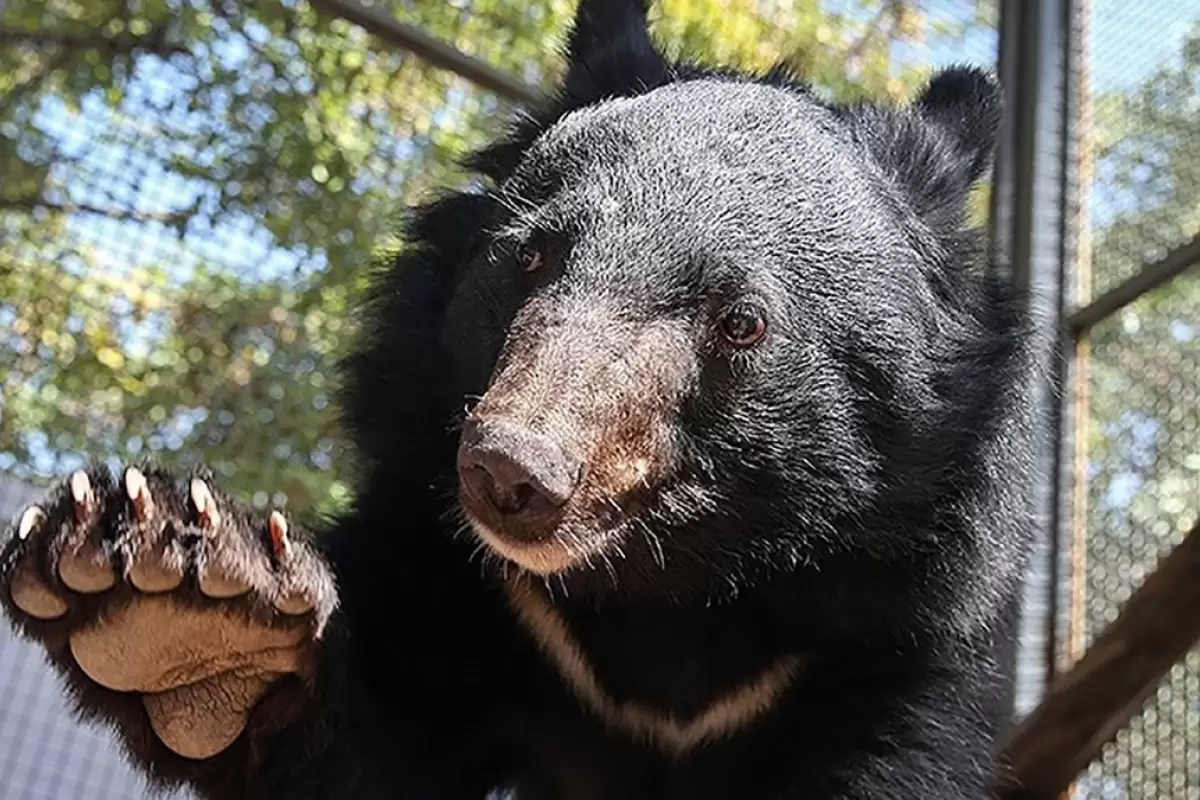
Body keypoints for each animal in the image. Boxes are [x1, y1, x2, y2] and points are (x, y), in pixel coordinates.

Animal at [0, 3, 1041, 796]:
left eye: (741, 321)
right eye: (532, 256)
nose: (509, 473)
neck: (666, 591)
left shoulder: (896, 644)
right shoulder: (470, 596)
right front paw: (176, 600)